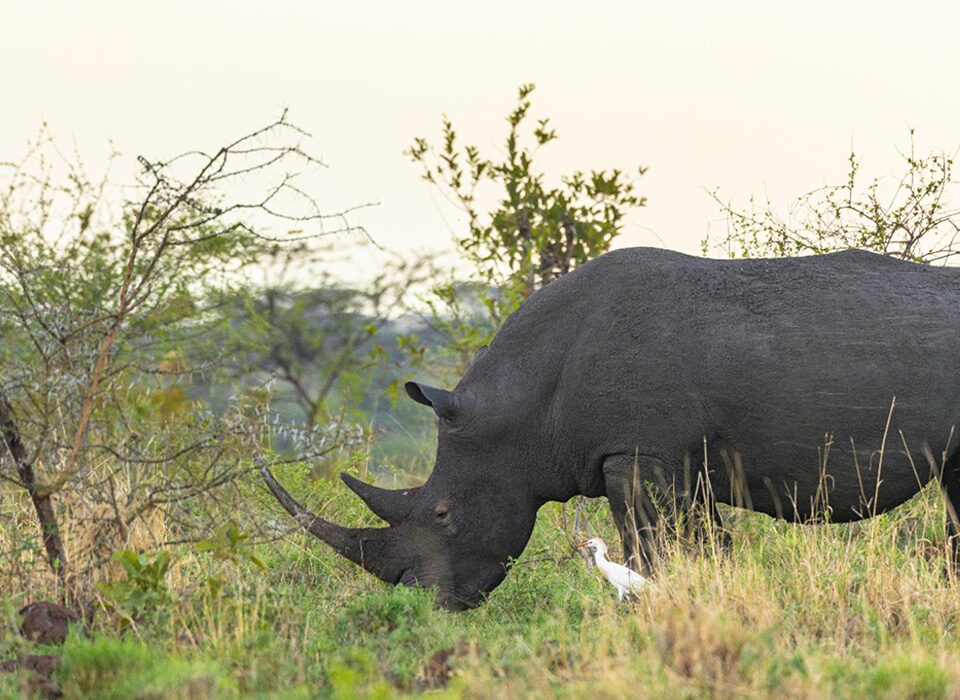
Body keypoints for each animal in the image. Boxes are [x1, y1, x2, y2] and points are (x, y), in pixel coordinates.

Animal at [262, 247, 960, 610]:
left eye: (441, 515)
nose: (417, 604)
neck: (521, 410)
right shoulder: (671, 456)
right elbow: (705, 546)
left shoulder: (639, 452)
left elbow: (657, 546)